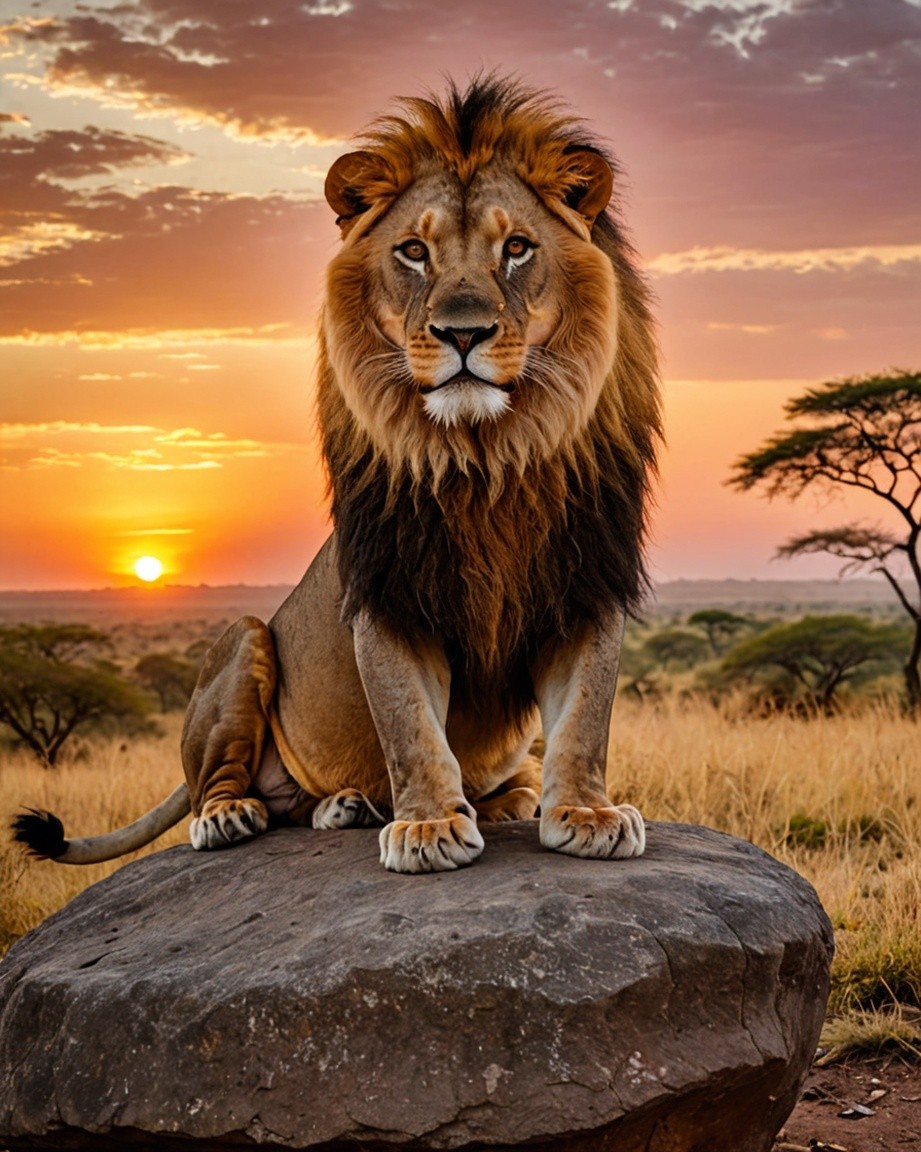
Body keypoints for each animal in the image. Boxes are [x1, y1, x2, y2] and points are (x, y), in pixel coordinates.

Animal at [14, 76, 661, 875]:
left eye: (516, 249)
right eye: (413, 251)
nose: (463, 333)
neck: (487, 458)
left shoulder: (587, 583)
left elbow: (584, 719)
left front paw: (586, 813)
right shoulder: (388, 594)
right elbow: (409, 724)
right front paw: (427, 827)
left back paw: (402, 803)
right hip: (243, 639)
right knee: (217, 786)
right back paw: (239, 816)